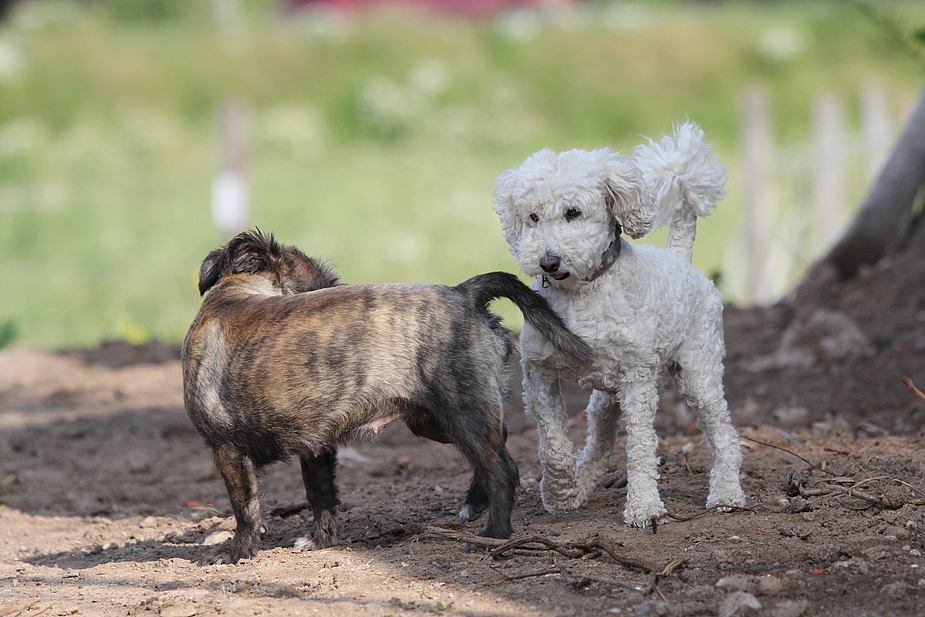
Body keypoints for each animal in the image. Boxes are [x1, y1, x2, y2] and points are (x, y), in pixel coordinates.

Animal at [179, 230, 592, 564]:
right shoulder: (317, 448)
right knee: (500, 444)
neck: (233, 295)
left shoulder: (227, 451)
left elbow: (245, 509)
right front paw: (321, 541)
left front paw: (238, 554)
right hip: (438, 420)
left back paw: (494, 534)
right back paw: (475, 503)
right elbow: (321, 495)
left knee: (503, 470)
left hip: (462, 415)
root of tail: (465, 292)